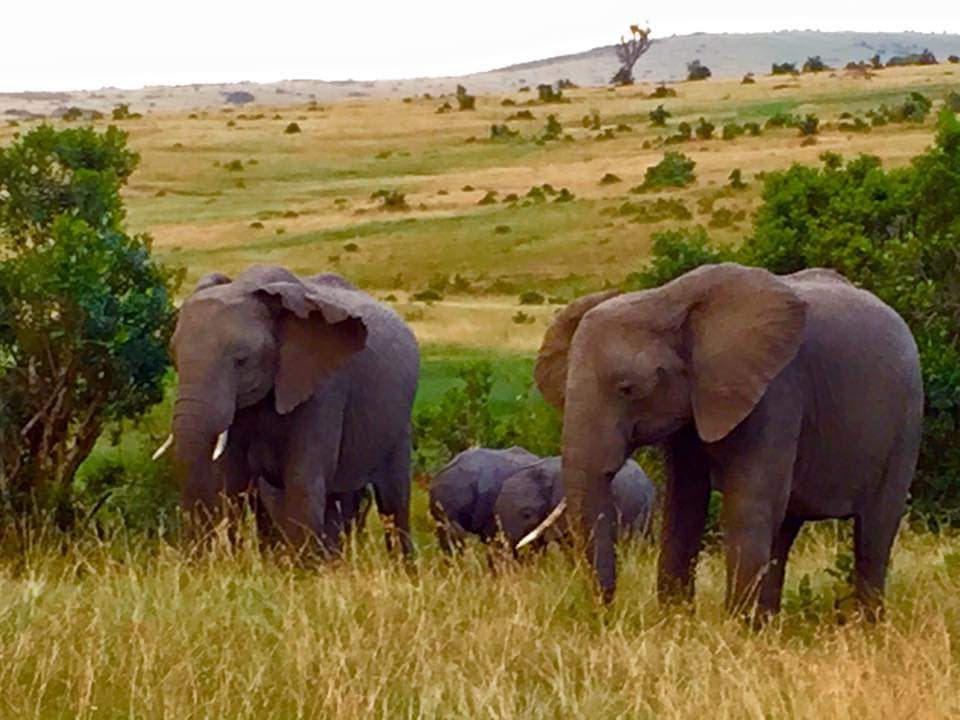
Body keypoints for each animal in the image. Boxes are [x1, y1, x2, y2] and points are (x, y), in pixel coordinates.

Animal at [168, 268, 420, 556]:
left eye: (241, 361)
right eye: (173, 357)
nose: (194, 558)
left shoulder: (324, 386)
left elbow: (302, 479)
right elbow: (232, 480)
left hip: (399, 424)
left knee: (393, 500)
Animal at [532, 264, 924, 620]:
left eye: (628, 389)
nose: (607, 611)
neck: (663, 302)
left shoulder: (775, 391)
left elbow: (746, 504)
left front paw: (733, 634)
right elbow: (685, 502)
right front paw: (677, 623)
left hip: (906, 421)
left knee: (873, 532)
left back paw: (867, 628)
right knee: (784, 526)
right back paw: (768, 626)